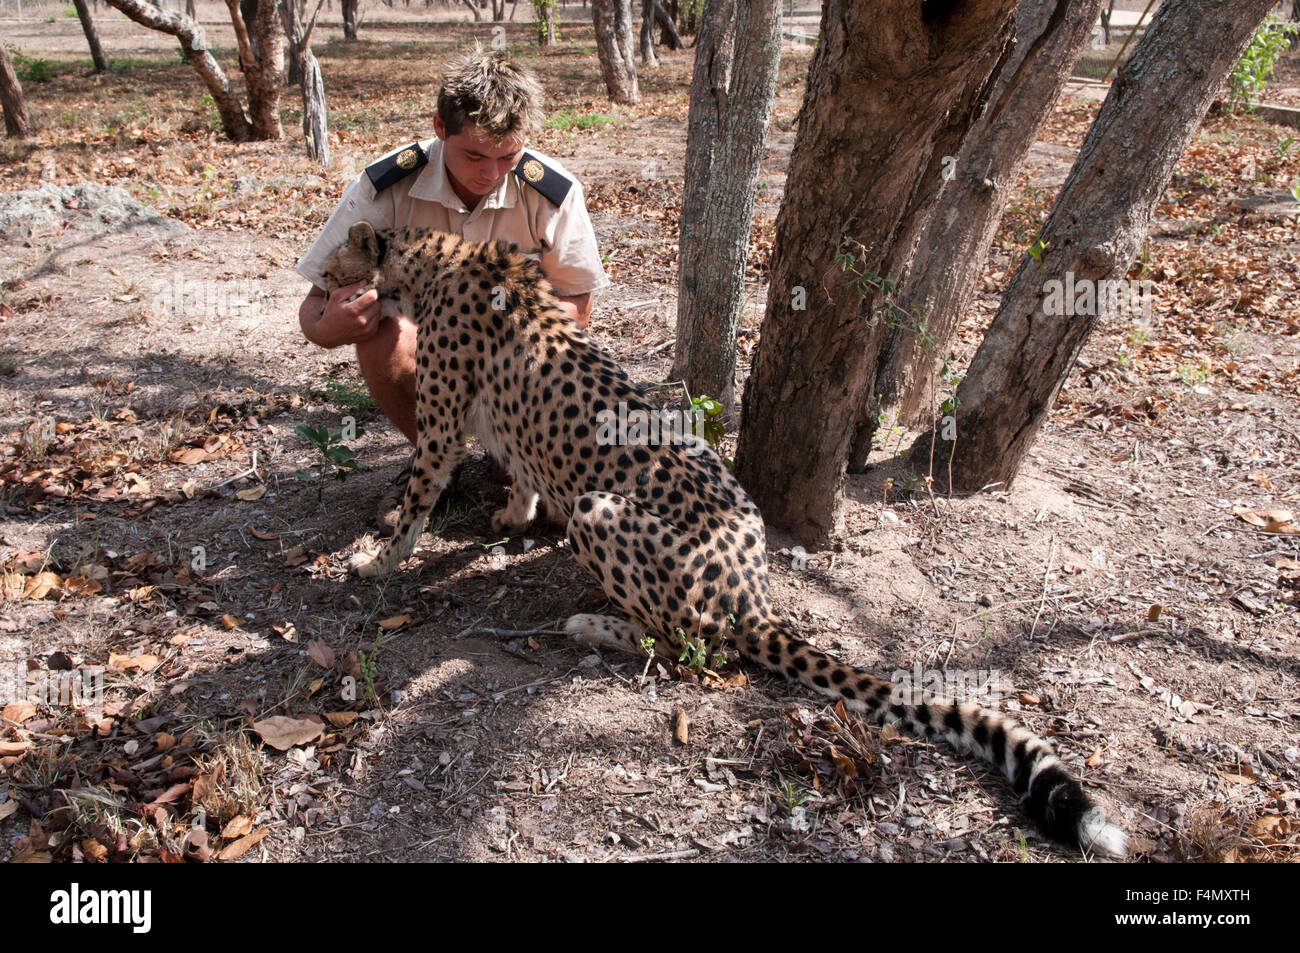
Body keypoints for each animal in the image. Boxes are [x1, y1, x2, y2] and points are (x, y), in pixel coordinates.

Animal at [319, 221, 1123, 852]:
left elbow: (417, 501)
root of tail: (754, 593)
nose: (321, 285)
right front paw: (506, 519)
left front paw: (374, 564)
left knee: (681, 644)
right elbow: (517, 477)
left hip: (600, 512)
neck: (433, 258)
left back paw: (590, 624)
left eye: (334, 258)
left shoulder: (442, 428)